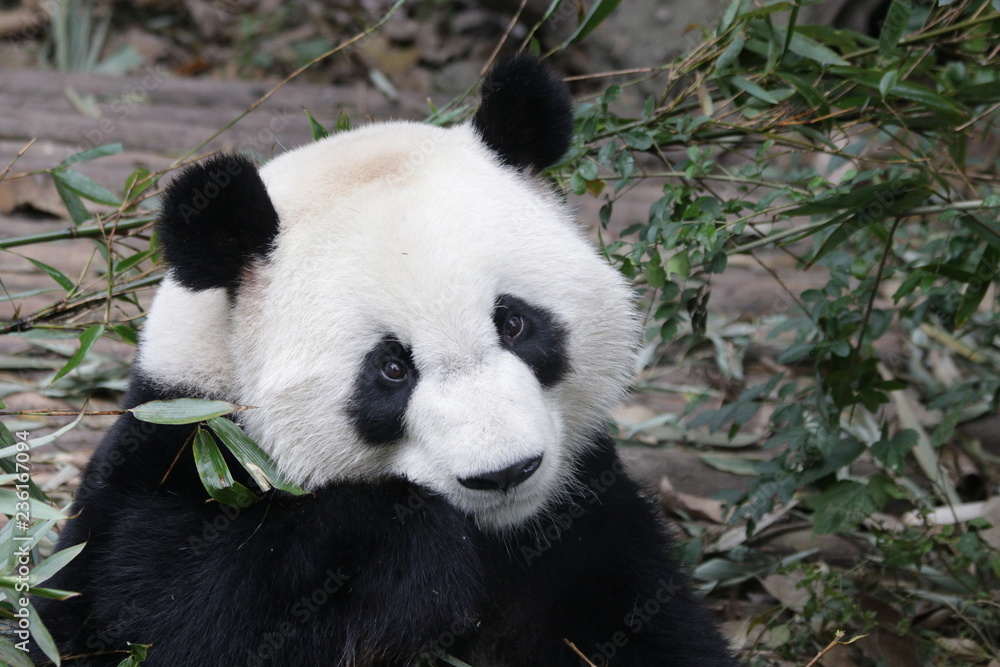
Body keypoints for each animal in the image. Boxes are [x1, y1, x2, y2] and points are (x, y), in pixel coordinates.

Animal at [32, 56, 739, 666]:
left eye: (513, 323)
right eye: (392, 369)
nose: (504, 473)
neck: (500, 535)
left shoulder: (587, 517)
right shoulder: (179, 447)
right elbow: (161, 609)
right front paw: (419, 557)